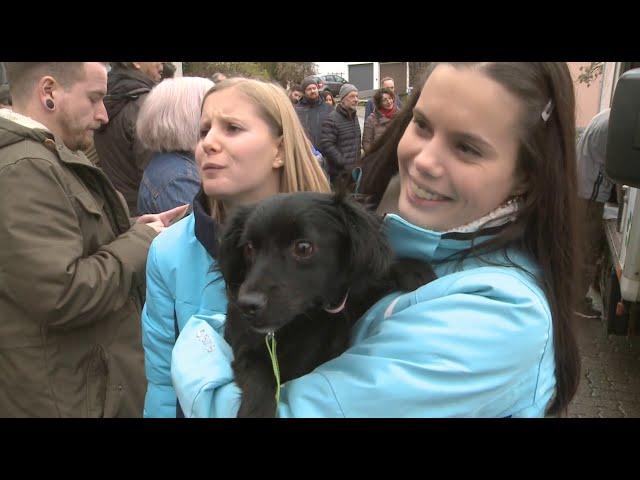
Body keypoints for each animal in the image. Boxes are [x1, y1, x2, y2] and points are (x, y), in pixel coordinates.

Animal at [219, 191, 436, 416]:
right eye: (249, 248)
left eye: (303, 248)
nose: (246, 305)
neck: (304, 320)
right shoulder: (245, 349)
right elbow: (258, 376)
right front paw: (256, 411)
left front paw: (413, 269)